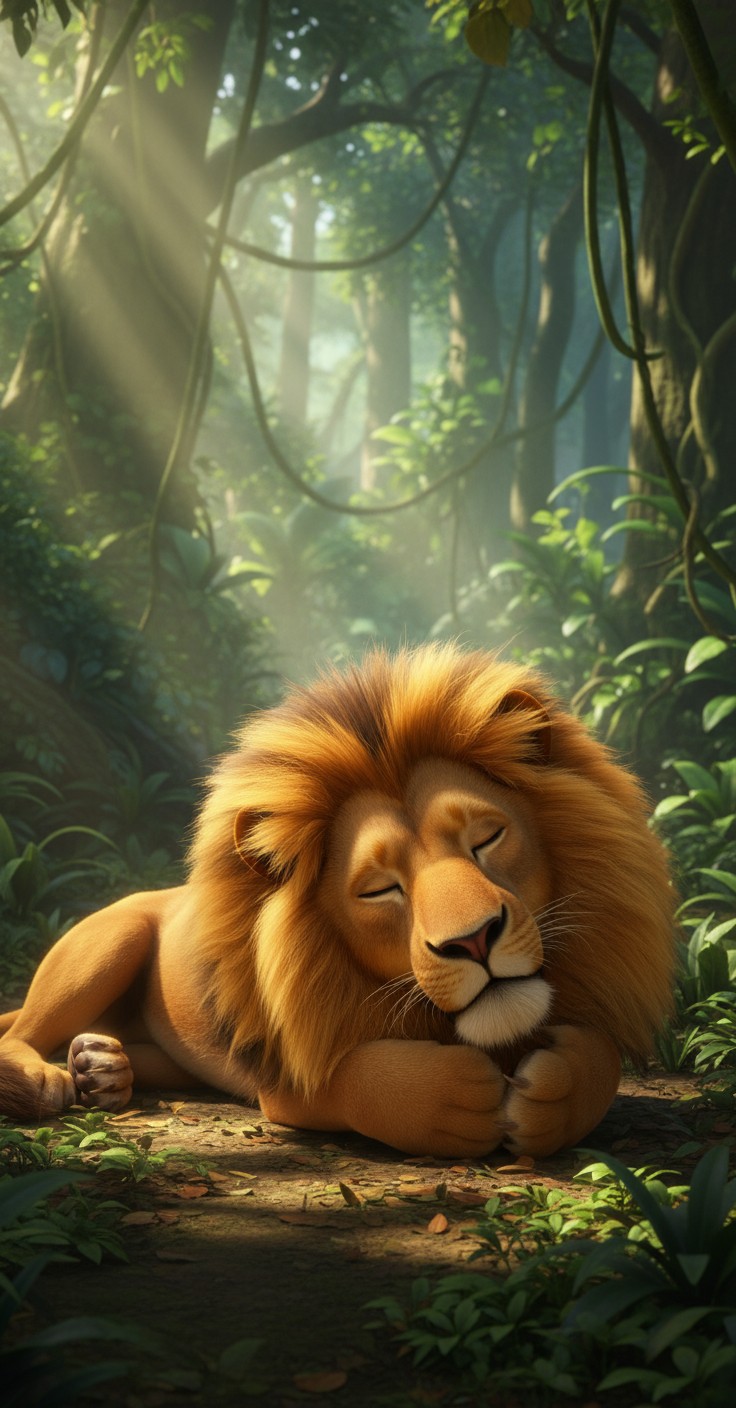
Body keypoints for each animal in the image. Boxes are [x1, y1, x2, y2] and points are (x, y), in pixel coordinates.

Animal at [0, 644, 675, 1158]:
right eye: (380, 888)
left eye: (487, 838)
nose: (473, 939)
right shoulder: (282, 1076)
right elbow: (356, 1076)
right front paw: (452, 1098)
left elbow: (603, 1060)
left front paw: (557, 1094)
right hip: (110, 939)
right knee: (26, 1030)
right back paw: (50, 1076)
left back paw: (103, 1069)